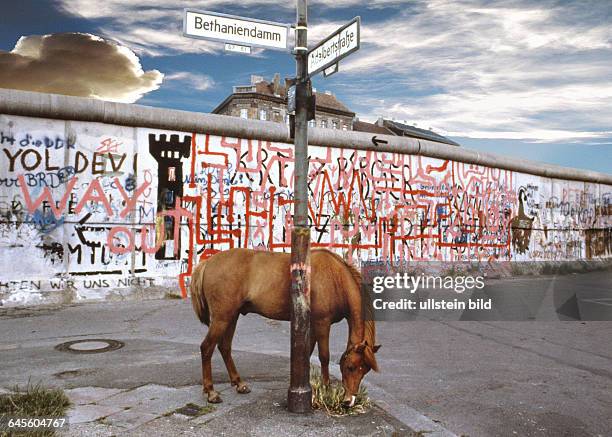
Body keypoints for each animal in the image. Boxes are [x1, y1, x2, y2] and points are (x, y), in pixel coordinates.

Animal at [190, 247, 378, 404]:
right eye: (350, 367)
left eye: (364, 370)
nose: (349, 401)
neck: (335, 277)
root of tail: (208, 262)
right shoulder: (322, 323)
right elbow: (324, 356)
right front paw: (326, 389)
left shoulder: (312, 325)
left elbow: (307, 353)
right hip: (222, 318)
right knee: (207, 347)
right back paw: (211, 391)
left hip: (232, 316)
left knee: (224, 347)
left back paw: (239, 383)